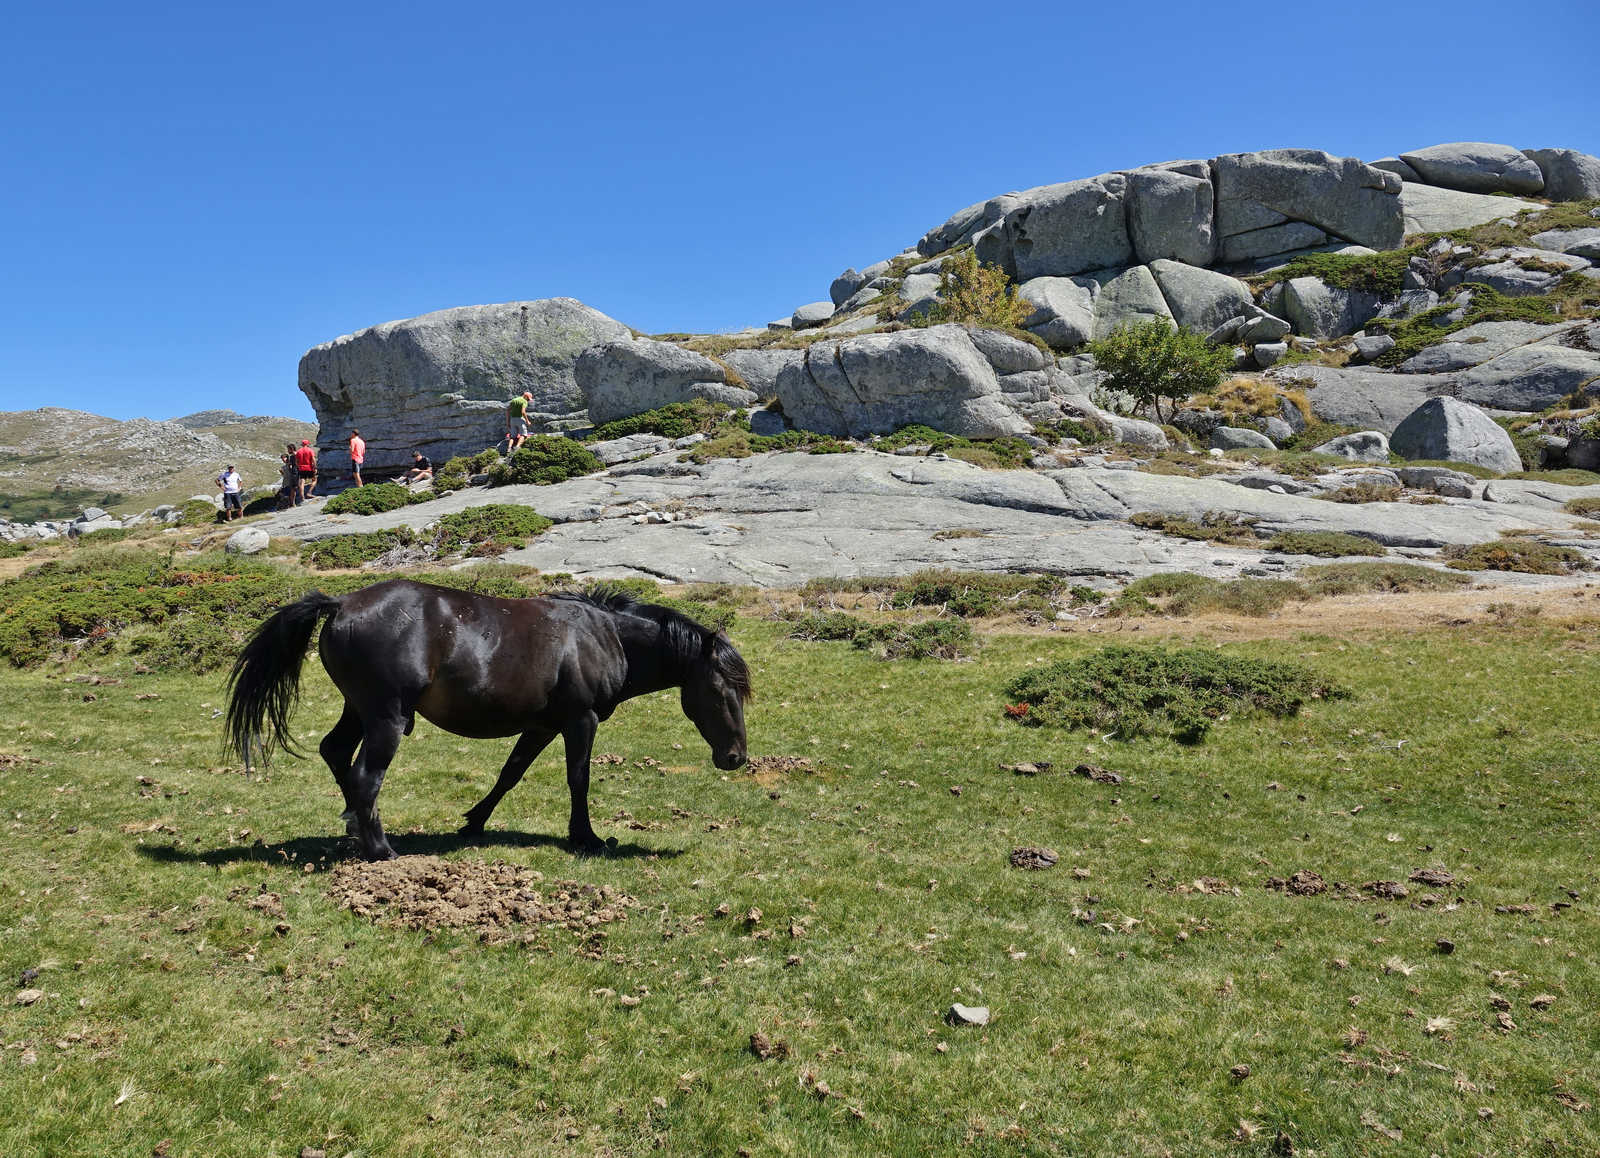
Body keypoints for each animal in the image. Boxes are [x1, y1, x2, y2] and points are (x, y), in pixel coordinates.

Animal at [224, 579, 752, 860]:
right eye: (721, 690)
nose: (736, 758)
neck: (604, 636)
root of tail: (340, 604)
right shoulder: (580, 721)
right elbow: (578, 778)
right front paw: (586, 837)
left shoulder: (542, 725)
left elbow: (509, 774)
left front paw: (474, 822)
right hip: (386, 717)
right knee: (364, 776)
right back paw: (381, 849)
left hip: (358, 710)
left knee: (335, 753)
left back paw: (356, 825)